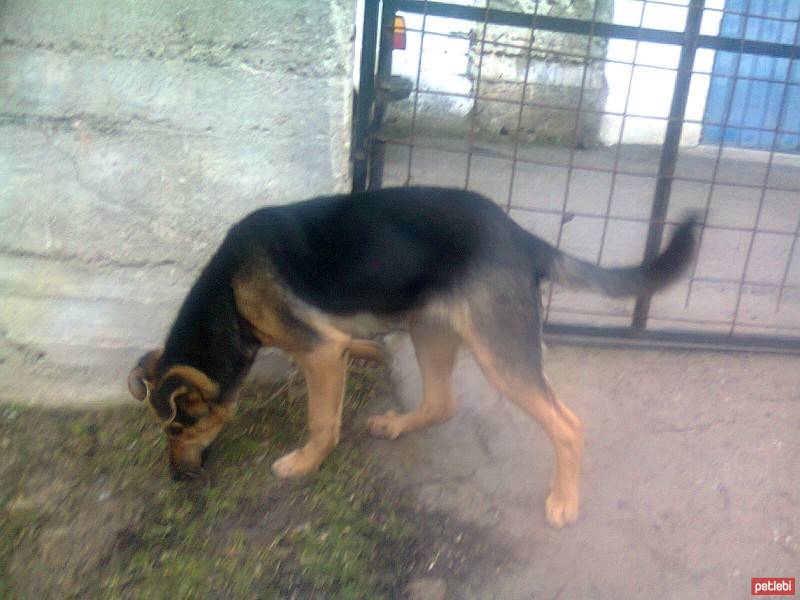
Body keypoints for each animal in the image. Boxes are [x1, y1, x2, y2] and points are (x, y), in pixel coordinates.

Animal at [128, 185, 696, 528]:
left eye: (179, 427)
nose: (176, 478)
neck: (228, 295)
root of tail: (521, 237)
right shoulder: (333, 343)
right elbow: (359, 348)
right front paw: (373, 353)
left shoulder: (320, 353)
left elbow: (320, 421)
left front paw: (305, 463)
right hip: (429, 328)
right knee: (442, 402)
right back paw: (399, 423)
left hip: (498, 355)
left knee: (568, 424)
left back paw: (564, 500)